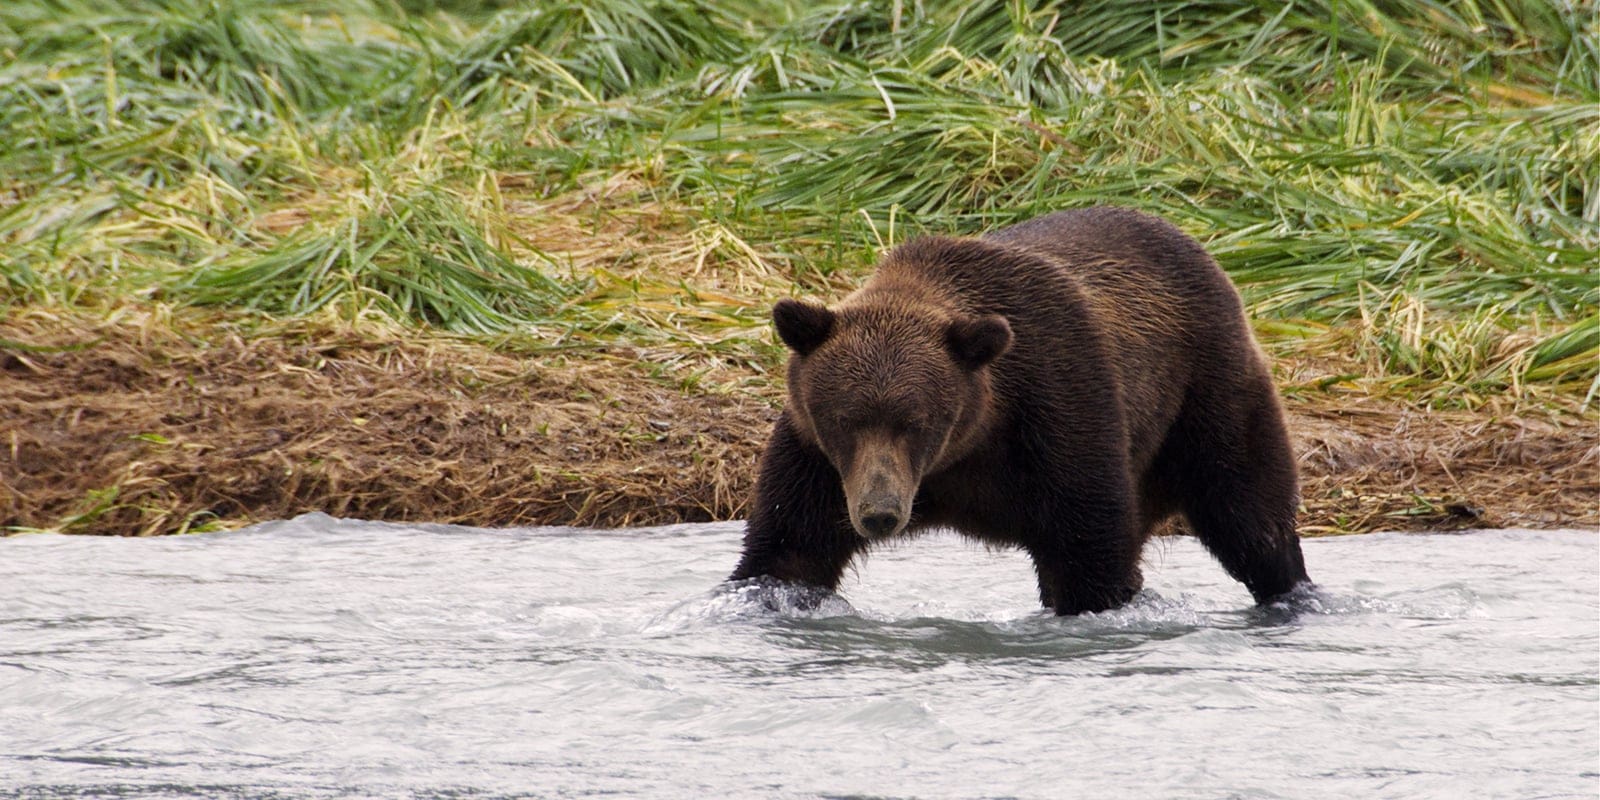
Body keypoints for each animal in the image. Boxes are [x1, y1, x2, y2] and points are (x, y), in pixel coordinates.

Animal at [732, 204, 1305, 611]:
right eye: (845, 420)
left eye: (916, 423)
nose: (879, 513)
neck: (970, 444)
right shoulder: (817, 459)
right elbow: (789, 550)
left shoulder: (1060, 406)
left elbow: (1088, 554)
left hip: (1204, 392)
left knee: (1248, 508)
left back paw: (1291, 592)